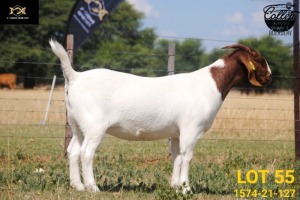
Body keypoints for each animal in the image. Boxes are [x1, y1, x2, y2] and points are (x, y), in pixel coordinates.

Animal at [49, 40, 272, 192]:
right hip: (94, 126)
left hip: (78, 124)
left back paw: (77, 186)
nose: (270, 75)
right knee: (86, 153)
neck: (211, 83)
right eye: (258, 59)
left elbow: (176, 157)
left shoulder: (176, 132)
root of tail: (75, 77)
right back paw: (93, 188)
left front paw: (175, 186)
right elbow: (187, 157)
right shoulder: (191, 129)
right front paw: (186, 188)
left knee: (73, 151)